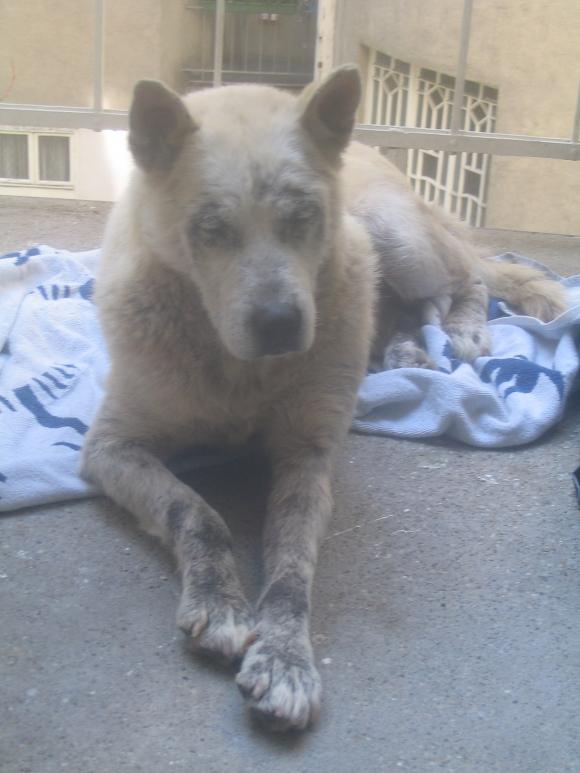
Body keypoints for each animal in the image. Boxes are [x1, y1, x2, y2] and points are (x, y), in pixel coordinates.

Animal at [82, 65, 568, 728]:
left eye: (302, 216)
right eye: (211, 228)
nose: (281, 324)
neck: (238, 368)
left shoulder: (306, 455)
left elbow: (291, 563)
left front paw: (286, 656)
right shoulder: (112, 448)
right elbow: (195, 511)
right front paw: (221, 601)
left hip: (394, 235)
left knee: (461, 279)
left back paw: (460, 331)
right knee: (412, 307)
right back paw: (404, 351)